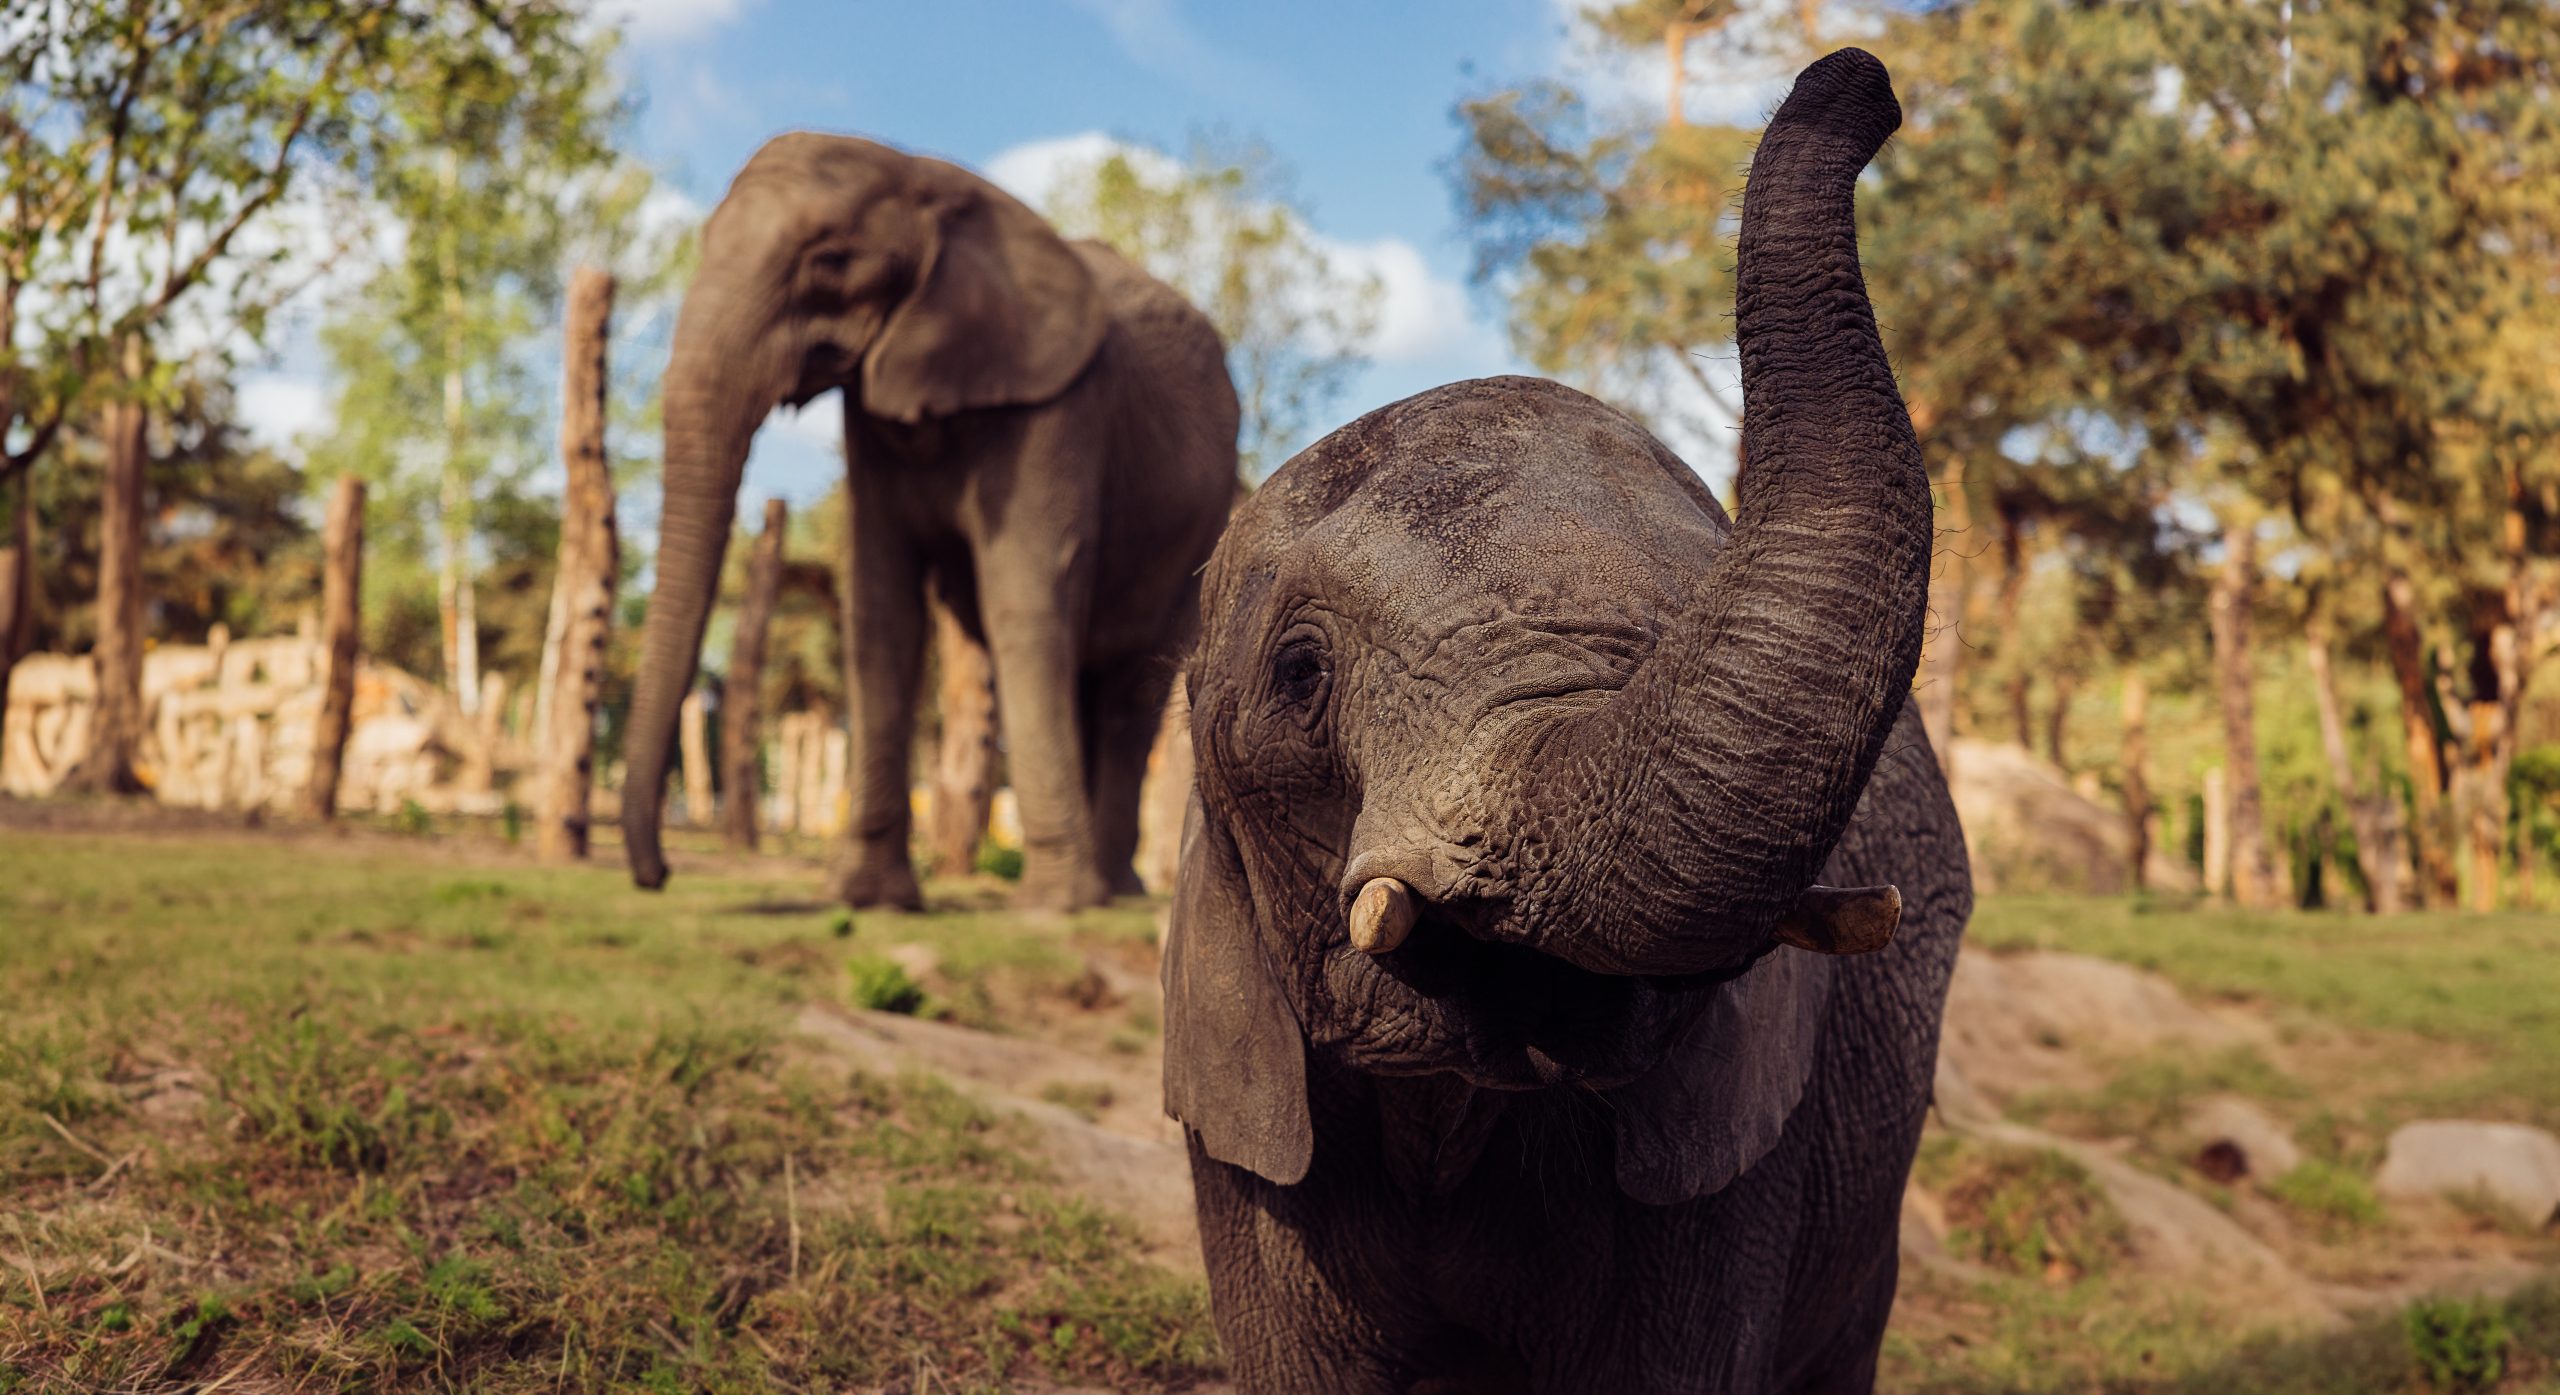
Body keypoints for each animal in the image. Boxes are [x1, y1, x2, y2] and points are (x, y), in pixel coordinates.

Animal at [629, 130, 1249, 911]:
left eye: (830, 261)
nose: (657, 876)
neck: (923, 173)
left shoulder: (1060, 406)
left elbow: (1022, 599)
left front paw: (1052, 909)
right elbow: (880, 611)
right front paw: (870, 898)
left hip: (1201, 523)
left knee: (1128, 691)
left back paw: (1114, 894)